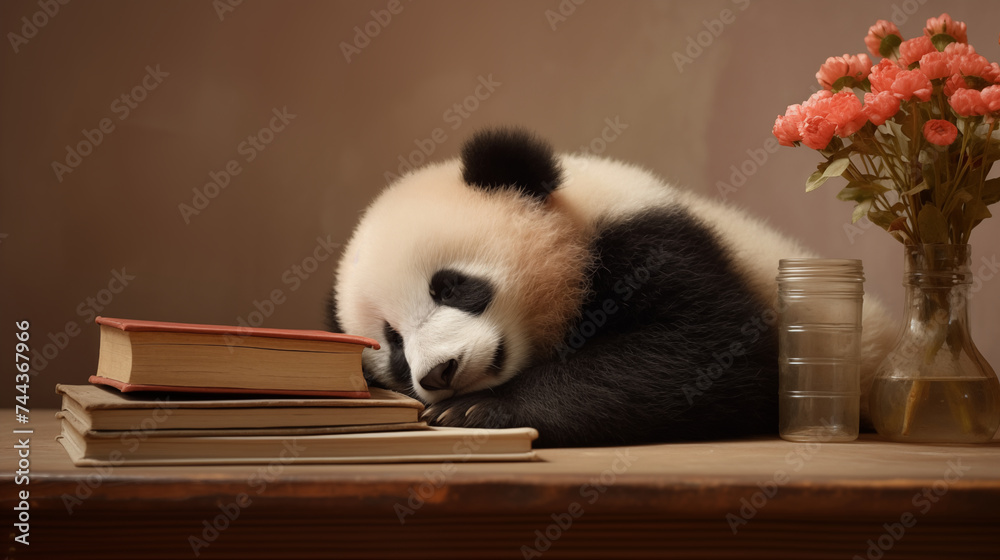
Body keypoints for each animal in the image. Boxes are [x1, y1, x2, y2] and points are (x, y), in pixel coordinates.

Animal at [327, 127, 895, 447]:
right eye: (393, 343)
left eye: (450, 287)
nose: (439, 374)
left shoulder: (651, 239)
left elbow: (706, 351)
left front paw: (475, 411)